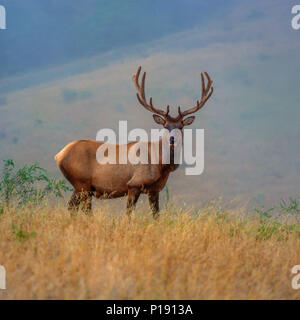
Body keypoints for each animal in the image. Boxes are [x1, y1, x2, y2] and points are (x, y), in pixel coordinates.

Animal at [54, 66, 213, 219]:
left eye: (181, 126)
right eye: (166, 125)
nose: (172, 139)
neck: (160, 164)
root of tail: (59, 155)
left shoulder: (154, 189)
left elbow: (156, 215)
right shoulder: (134, 184)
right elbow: (129, 214)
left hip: (81, 186)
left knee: (73, 207)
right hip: (82, 183)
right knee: (82, 208)